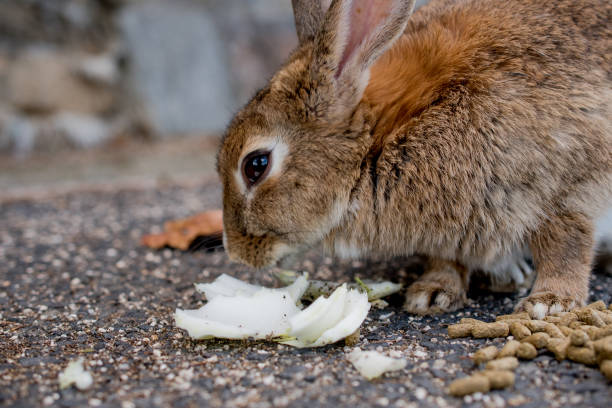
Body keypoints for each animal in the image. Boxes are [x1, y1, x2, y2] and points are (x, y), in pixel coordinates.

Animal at [218, 0, 608, 318]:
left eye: (255, 166)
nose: (236, 254)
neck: (384, 139)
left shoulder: (566, 177)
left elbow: (565, 242)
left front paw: (552, 302)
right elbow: (446, 258)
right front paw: (432, 292)